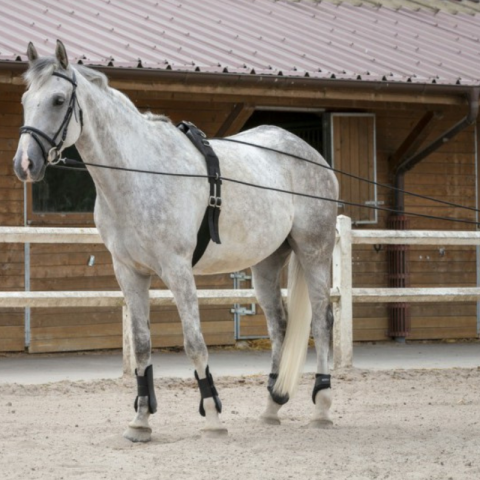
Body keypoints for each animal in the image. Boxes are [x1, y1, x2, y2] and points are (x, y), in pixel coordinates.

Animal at [13, 41, 340, 442]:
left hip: (314, 251)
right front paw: (140, 421)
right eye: (26, 99)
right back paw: (271, 407)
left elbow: (194, 343)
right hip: (266, 263)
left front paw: (213, 415)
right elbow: (141, 345)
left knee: (322, 320)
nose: (25, 164)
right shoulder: (129, 272)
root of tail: (310, 155)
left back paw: (322, 408)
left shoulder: (177, 270)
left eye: (58, 100)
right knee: (279, 325)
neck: (140, 173)